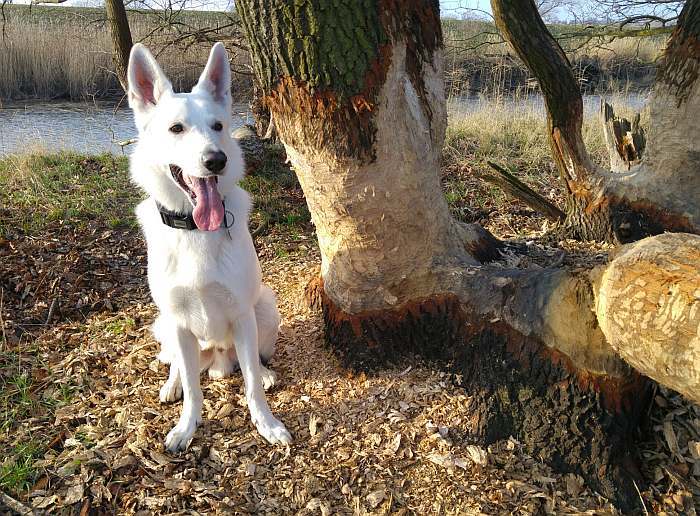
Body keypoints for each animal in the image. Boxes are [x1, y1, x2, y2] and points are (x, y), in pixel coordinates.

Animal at [127, 42, 292, 450]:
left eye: (218, 126)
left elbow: (251, 385)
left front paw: (266, 423)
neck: (195, 230)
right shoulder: (179, 322)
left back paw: (264, 372)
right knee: (178, 364)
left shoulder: (243, 314)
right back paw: (171, 385)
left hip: (265, 307)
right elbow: (192, 386)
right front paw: (187, 426)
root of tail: (217, 361)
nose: (216, 160)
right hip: (165, 323)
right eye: (176, 128)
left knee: (251, 364)